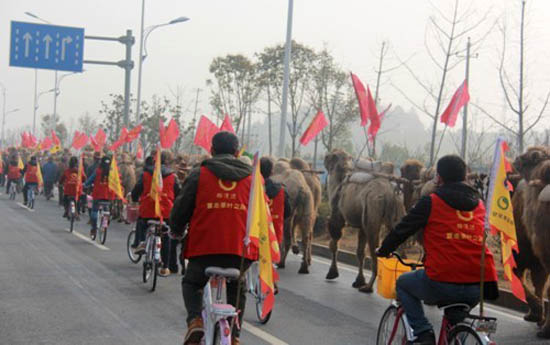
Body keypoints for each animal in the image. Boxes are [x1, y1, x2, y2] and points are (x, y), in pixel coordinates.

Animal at [324, 149, 406, 292]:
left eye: (329, 156)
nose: (324, 157)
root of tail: (390, 193)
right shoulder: (362, 225)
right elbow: (360, 252)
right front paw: (358, 280)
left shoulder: (337, 216)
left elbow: (334, 243)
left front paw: (332, 273)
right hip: (398, 211)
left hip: (373, 209)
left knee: (375, 247)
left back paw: (368, 287)